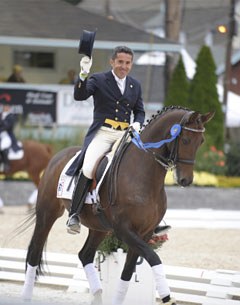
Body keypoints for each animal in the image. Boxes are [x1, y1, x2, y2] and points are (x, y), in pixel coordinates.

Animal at [21, 107, 215, 304]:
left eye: (201, 141)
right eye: (185, 140)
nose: (185, 180)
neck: (144, 174)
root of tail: (57, 156)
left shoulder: (144, 233)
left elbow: (128, 272)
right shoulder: (124, 230)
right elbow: (153, 257)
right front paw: (167, 296)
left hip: (99, 227)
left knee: (85, 255)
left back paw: (98, 295)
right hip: (47, 213)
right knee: (34, 253)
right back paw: (26, 296)